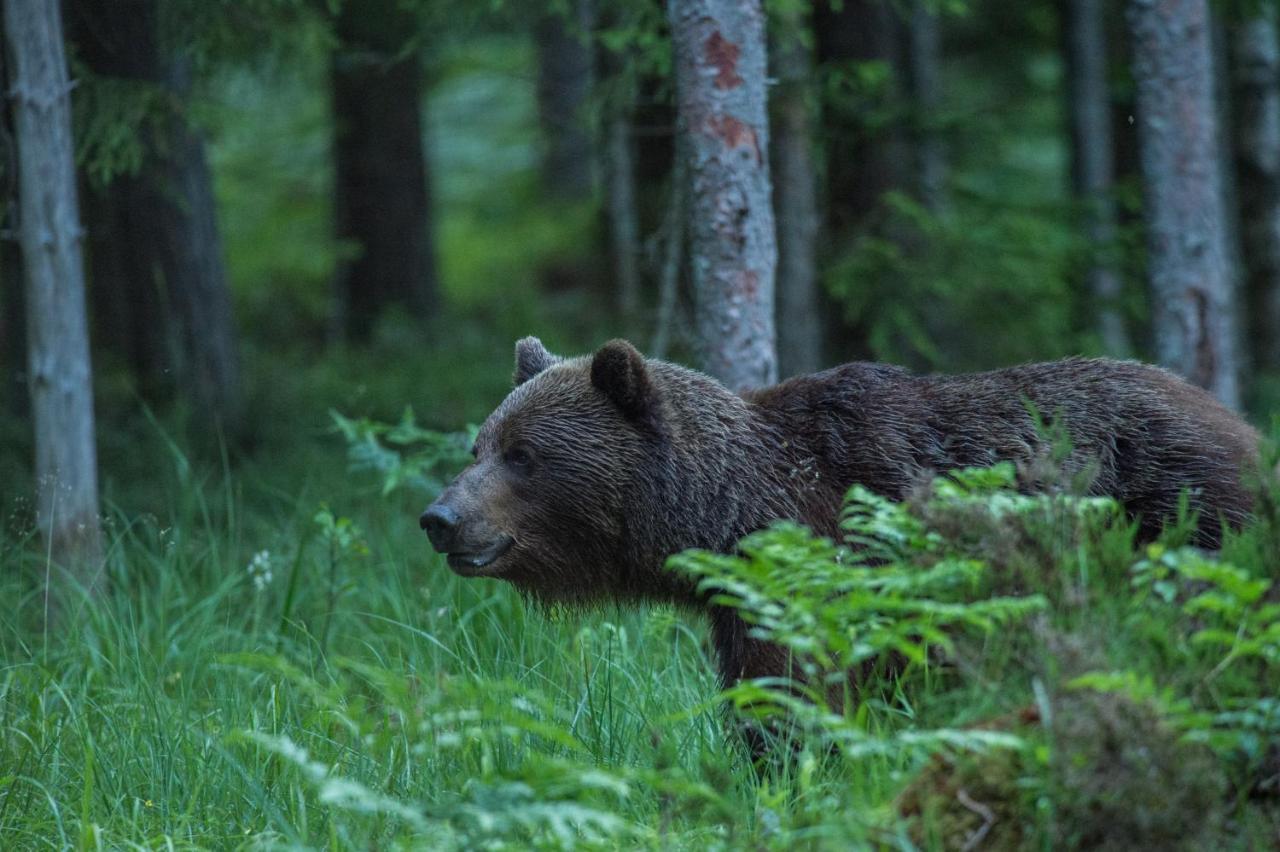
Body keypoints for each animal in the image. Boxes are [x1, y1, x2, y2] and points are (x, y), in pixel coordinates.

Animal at [417, 337, 1259, 690]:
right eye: (478, 444)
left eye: (524, 455)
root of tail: (1240, 420)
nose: (440, 518)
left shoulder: (826, 565)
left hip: (1181, 515)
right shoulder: (742, 602)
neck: (724, 514)